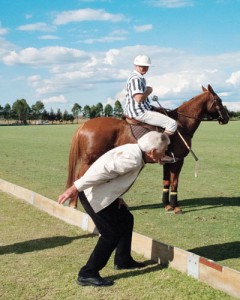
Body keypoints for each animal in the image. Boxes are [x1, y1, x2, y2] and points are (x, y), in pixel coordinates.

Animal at [65, 85, 229, 213]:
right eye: (219, 100)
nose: (227, 118)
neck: (182, 124)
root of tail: (83, 125)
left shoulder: (168, 161)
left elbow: (166, 182)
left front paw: (166, 205)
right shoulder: (178, 160)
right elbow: (175, 183)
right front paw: (176, 207)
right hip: (90, 159)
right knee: (79, 177)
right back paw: (74, 204)